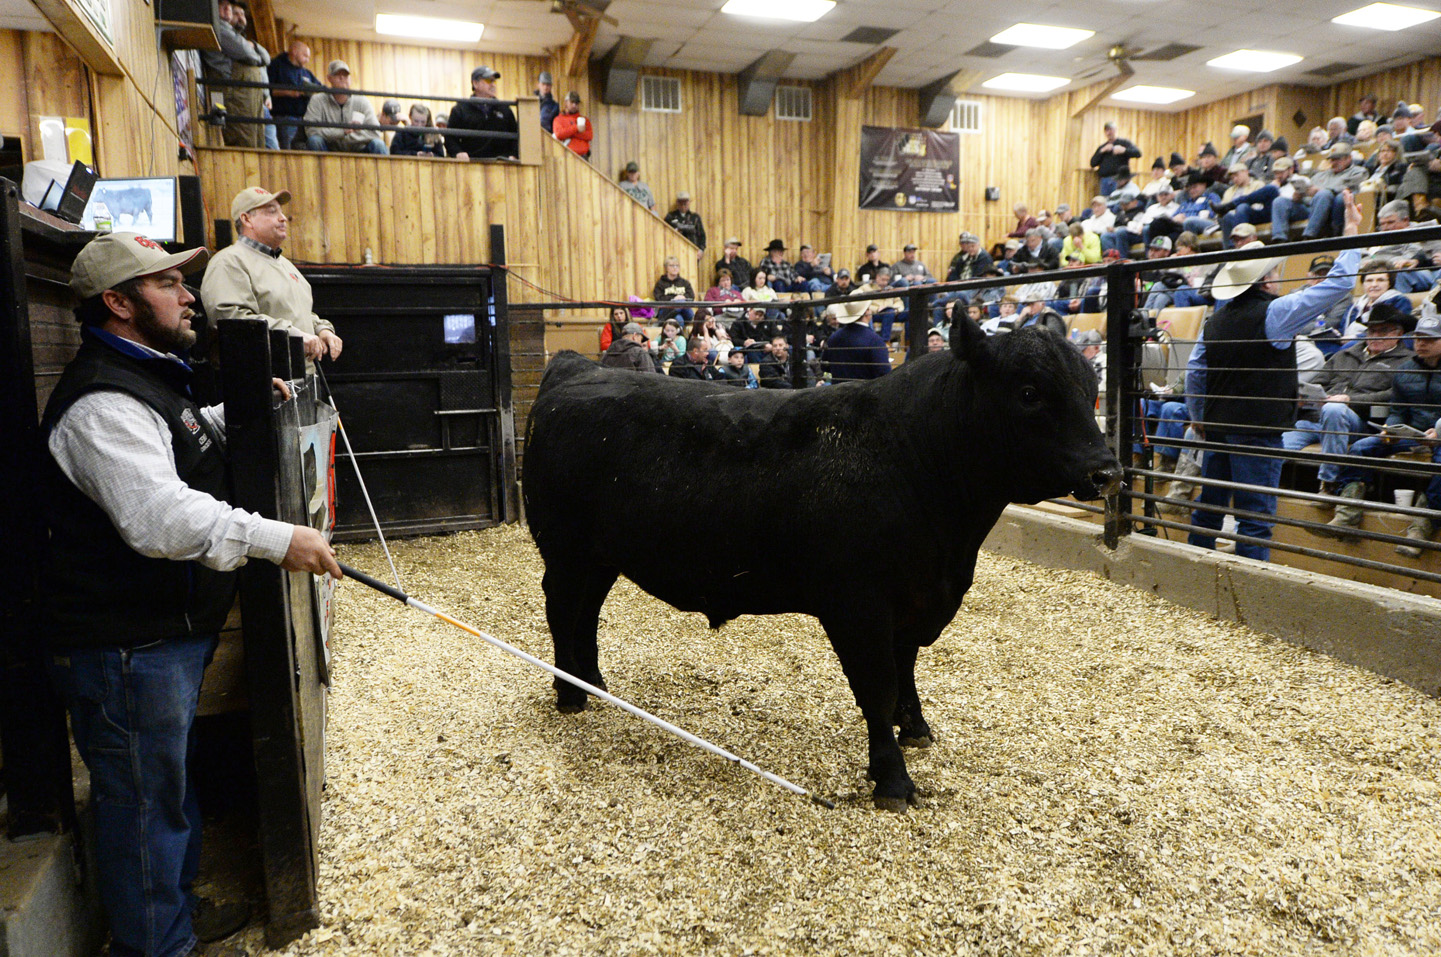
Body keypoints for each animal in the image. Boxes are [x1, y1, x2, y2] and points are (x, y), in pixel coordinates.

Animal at [524, 321, 1118, 807]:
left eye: (1090, 391)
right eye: (1029, 393)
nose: (1107, 471)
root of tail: (575, 367)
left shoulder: (915, 600)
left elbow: (906, 670)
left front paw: (916, 728)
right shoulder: (858, 606)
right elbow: (878, 686)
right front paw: (892, 780)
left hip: (601, 556)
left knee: (586, 614)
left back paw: (593, 683)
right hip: (565, 550)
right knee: (561, 610)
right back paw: (569, 694)